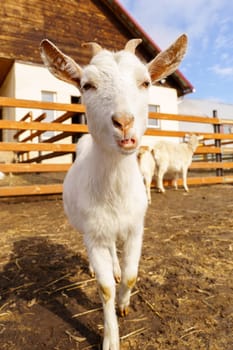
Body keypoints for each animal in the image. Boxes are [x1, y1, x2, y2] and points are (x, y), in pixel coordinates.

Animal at [40, 33, 187, 350]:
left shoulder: (135, 227)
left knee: (115, 254)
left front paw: (123, 304)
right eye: (87, 85)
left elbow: (131, 276)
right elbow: (104, 288)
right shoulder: (94, 233)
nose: (123, 123)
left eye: (146, 82)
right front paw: (110, 337)